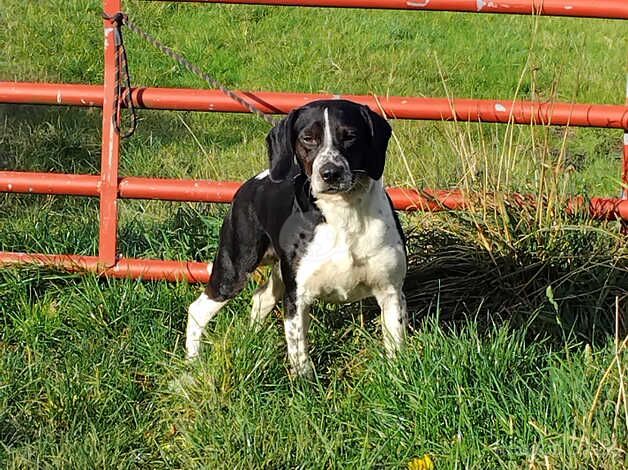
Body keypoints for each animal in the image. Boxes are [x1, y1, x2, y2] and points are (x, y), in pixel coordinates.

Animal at [186, 100, 408, 378]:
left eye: (350, 136)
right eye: (308, 138)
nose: (330, 173)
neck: (343, 216)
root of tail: (252, 183)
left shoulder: (391, 292)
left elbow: (396, 346)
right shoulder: (297, 298)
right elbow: (299, 353)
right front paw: (306, 383)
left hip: (278, 273)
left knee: (260, 298)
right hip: (234, 269)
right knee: (197, 309)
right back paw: (192, 363)